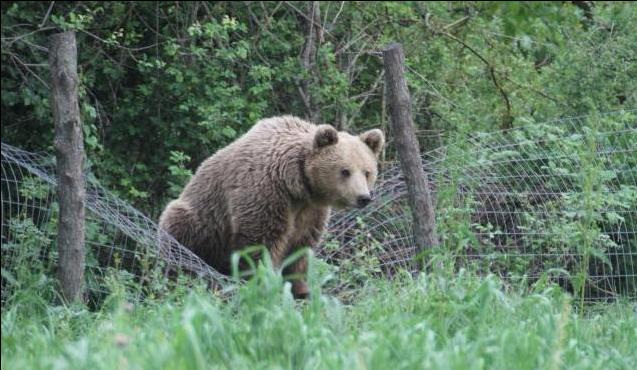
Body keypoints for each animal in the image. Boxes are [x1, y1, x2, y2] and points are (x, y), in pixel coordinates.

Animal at [160, 115, 382, 298]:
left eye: (367, 172)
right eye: (345, 171)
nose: (363, 197)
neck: (297, 185)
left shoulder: (311, 211)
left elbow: (300, 246)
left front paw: (301, 289)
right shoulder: (266, 192)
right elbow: (261, 243)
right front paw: (265, 283)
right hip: (201, 222)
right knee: (179, 236)